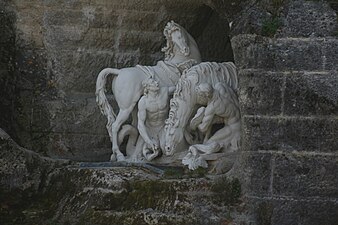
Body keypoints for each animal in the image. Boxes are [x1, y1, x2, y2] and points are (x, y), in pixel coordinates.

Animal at [95, 21, 201, 161]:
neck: (181, 61)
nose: (185, 50)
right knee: (115, 126)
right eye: (174, 38)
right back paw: (120, 155)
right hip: (126, 108)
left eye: (179, 35)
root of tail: (119, 71)